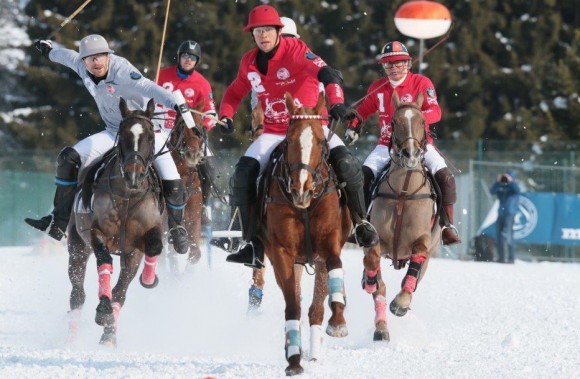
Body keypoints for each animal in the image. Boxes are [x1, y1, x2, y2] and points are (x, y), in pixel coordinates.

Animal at [67, 98, 164, 348]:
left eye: (151, 136)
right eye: (123, 135)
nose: (133, 176)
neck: (127, 196)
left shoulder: (137, 247)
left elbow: (153, 248)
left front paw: (149, 280)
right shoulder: (97, 232)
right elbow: (104, 261)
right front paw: (103, 311)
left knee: (120, 289)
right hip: (77, 246)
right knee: (77, 293)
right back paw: (72, 337)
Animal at [262, 93, 352, 378]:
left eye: (322, 141)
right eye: (288, 140)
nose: (301, 188)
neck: (304, 206)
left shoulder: (329, 244)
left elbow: (335, 270)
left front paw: (338, 322)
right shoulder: (281, 253)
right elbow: (292, 305)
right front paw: (293, 359)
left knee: (316, 307)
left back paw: (315, 350)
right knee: (300, 301)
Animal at [362, 92, 440, 342]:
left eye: (422, 122)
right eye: (395, 122)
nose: (411, 154)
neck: (404, 191)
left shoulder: (423, 241)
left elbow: (414, 268)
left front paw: (401, 304)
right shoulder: (375, 239)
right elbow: (376, 276)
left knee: (416, 275)